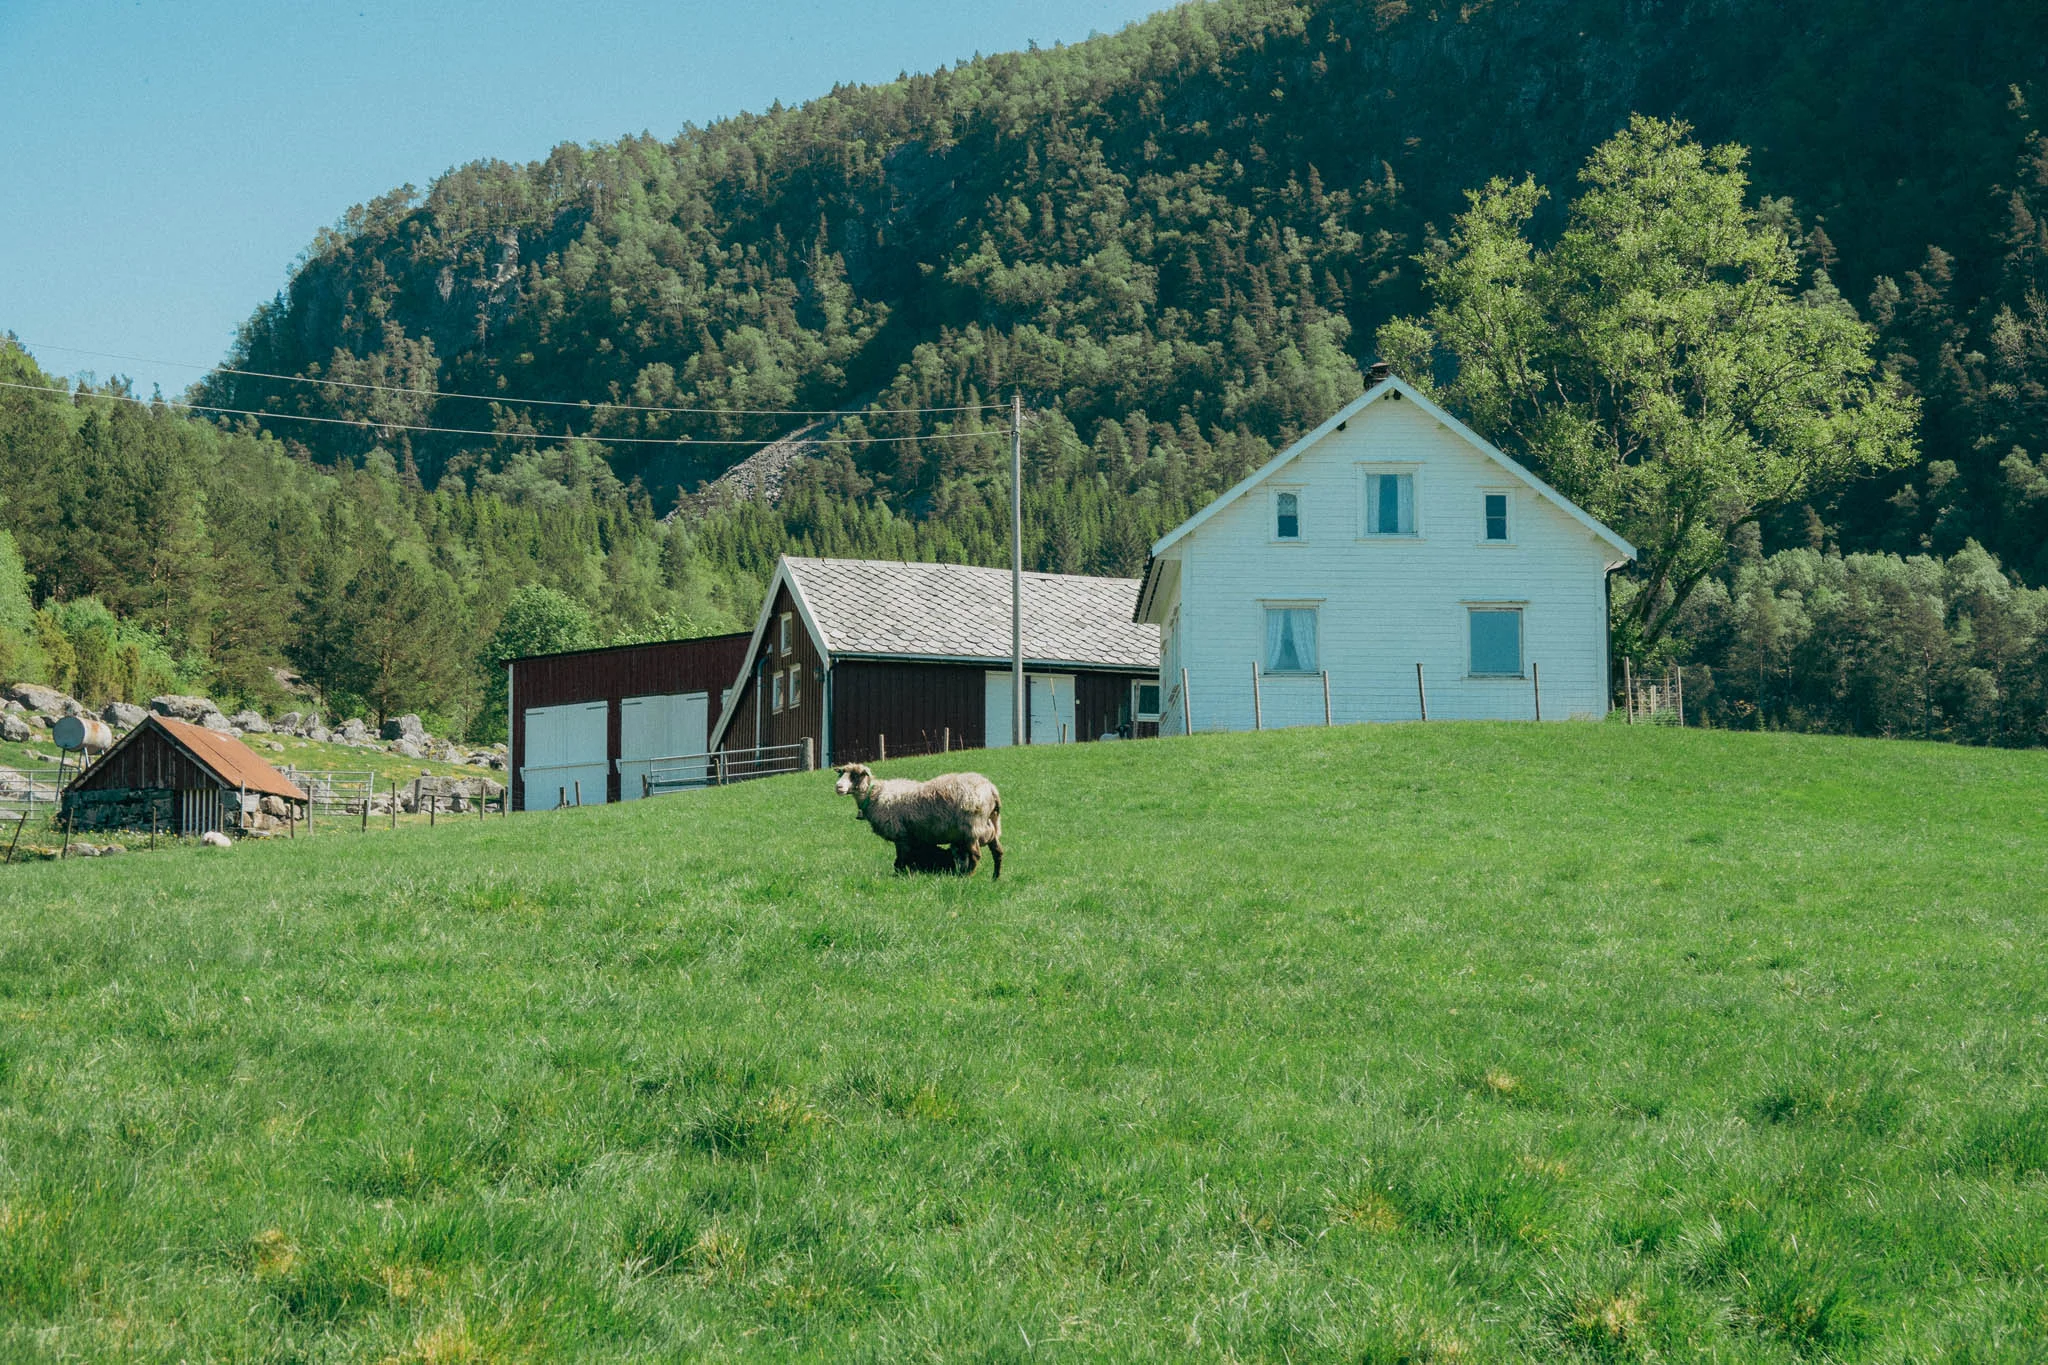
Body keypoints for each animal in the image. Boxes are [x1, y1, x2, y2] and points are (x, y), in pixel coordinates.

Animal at [833, 763, 1003, 879]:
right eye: (841, 773)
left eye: (855, 775)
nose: (838, 787)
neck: (874, 794)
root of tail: (991, 789)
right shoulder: (910, 837)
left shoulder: (900, 835)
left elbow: (900, 859)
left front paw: (900, 876)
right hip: (991, 827)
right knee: (998, 852)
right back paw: (995, 878)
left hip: (972, 829)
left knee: (975, 855)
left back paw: (966, 876)